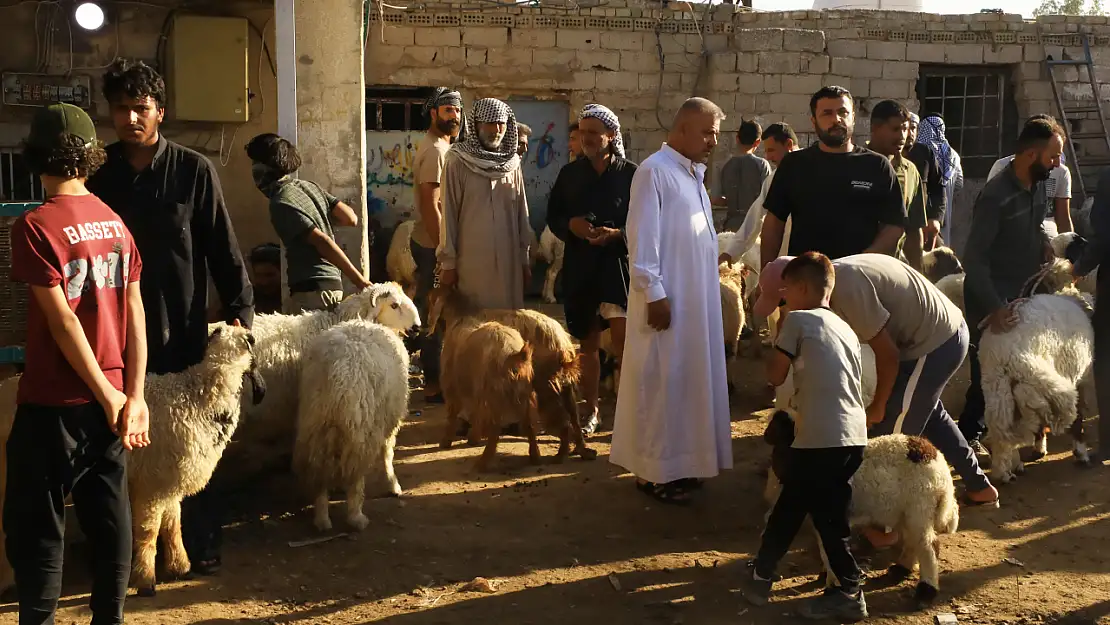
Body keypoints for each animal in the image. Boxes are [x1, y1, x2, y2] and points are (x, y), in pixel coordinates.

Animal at [295, 319, 412, 530]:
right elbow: (387, 454)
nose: (415, 329)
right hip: (360, 427)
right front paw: (393, 485)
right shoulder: (387, 421)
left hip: (316, 425)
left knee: (318, 470)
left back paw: (322, 519)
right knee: (356, 474)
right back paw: (356, 517)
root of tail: (339, 370)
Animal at [763, 410, 963, 608]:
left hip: (920, 505)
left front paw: (832, 584)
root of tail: (936, 458)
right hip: (906, 510)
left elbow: (828, 549)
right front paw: (827, 577)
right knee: (913, 541)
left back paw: (926, 590)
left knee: (928, 546)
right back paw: (901, 570)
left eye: (778, 426)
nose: (766, 435)